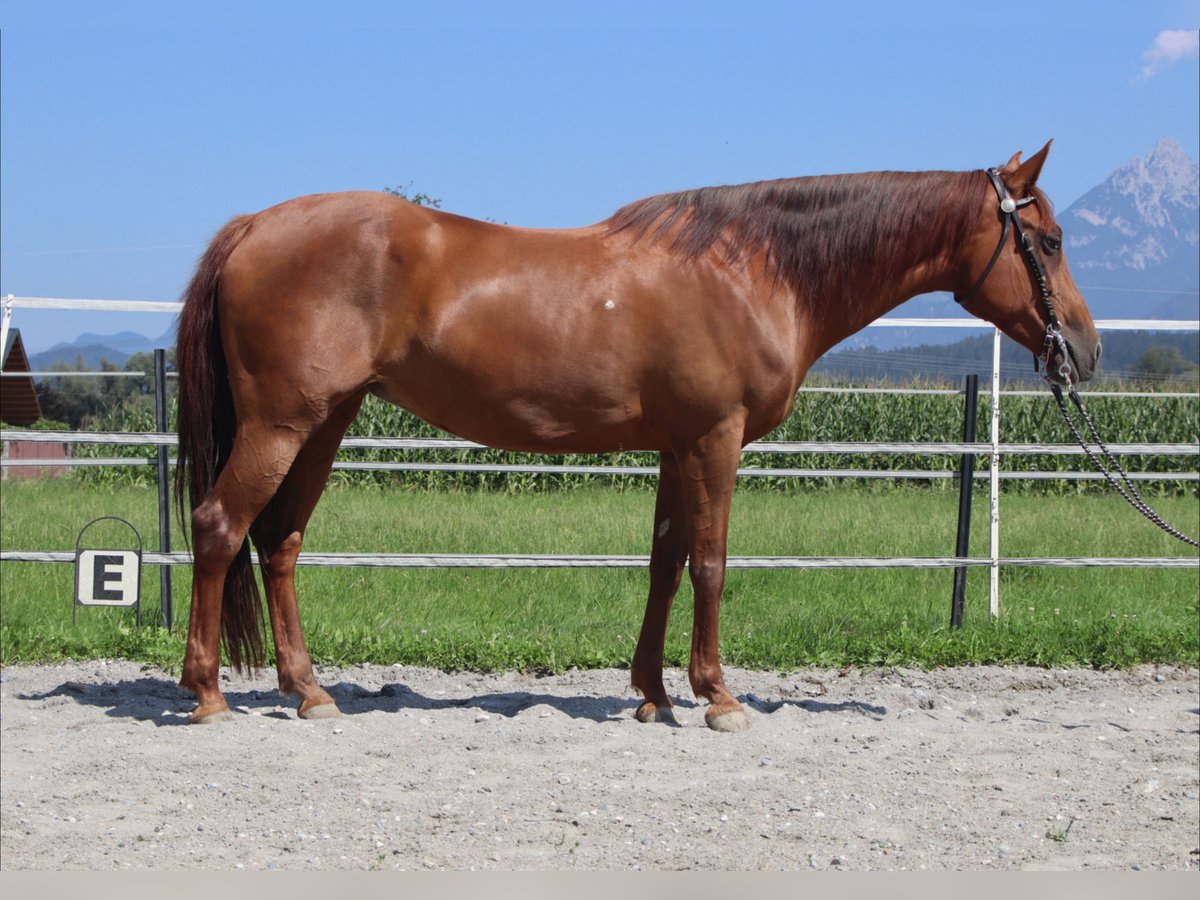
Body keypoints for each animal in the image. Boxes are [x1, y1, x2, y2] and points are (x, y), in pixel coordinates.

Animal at [175, 142, 1099, 734]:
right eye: (1049, 240)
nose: (1083, 353)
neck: (751, 269)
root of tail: (255, 224)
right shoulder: (716, 440)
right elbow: (712, 563)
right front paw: (719, 696)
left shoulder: (674, 446)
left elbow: (665, 562)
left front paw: (653, 693)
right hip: (283, 424)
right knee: (220, 528)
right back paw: (209, 694)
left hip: (324, 424)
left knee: (279, 543)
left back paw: (308, 691)